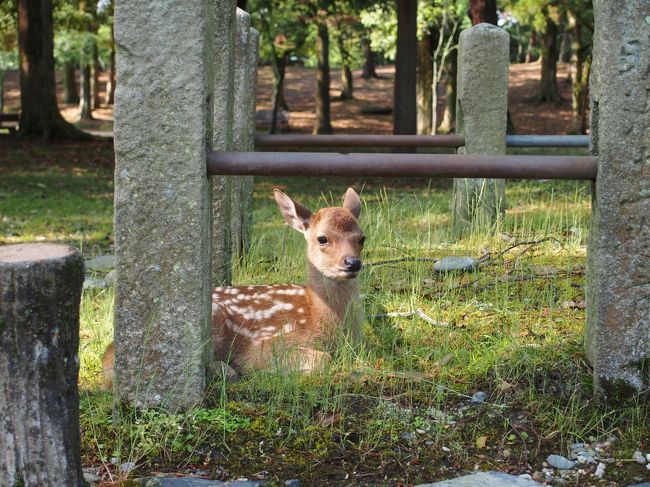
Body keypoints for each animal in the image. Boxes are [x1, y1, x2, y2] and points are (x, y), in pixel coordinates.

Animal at [102, 188, 364, 388]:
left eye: (361, 238)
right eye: (322, 238)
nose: (352, 262)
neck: (319, 316)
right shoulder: (268, 341)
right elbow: (323, 359)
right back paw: (226, 371)